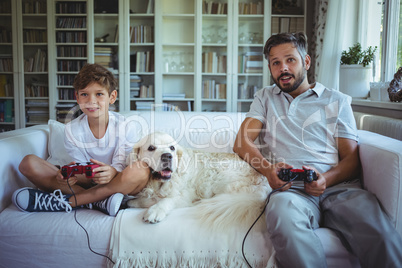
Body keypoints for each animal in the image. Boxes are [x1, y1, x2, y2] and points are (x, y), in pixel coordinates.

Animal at [125, 132, 270, 228]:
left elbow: (167, 199)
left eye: (172, 148)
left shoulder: (187, 194)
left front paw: (155, 210)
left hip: (216, 175)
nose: (167, 156)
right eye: (151, 148)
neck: (158, 183)